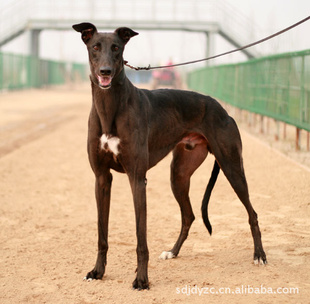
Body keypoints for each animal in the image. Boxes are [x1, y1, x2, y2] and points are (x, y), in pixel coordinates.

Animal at [72, 22, 266, 290]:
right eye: (95, 47)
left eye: (117, 48)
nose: (105, 71)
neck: (110, 107)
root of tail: (222, 109)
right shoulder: (101, 178)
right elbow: (102, 233)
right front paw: (97, 271)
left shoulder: (137, 178)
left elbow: (141, 238)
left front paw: (141, 279)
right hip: (179, 175)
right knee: (189, 215)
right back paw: (173, 252)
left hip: (232, 166)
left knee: (252, 213)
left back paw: (259, 255)